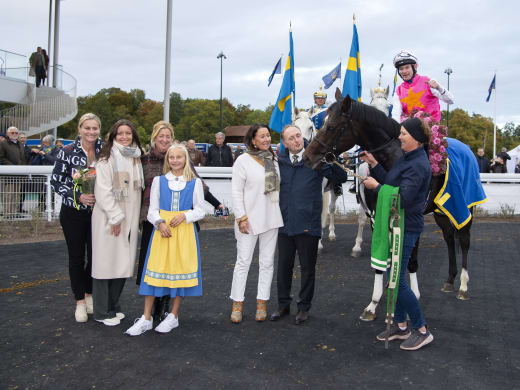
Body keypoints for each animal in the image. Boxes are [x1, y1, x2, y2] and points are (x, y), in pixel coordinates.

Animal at [304, 90, 476, 322]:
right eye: (319, 123)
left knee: (464, 240)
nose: (307, 156)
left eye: (331, 126)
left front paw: (412, 295)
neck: (395, 160)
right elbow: (382, 259)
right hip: (441, 211)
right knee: (449, 238)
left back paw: (463, 286)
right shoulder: (375, 215)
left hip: (464, 208)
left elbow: (410, 259)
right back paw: (449, 280)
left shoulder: (411, 216)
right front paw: (374, 303)